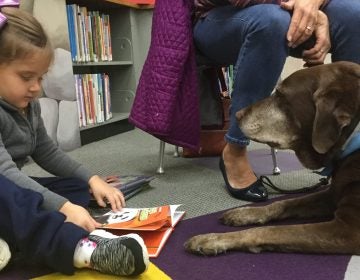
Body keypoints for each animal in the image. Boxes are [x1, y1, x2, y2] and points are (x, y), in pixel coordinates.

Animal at [184, 61, 360, 256]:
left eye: (281, 95)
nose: (237, 115)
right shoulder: (331, 194)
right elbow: (282, 203)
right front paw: (244, 213)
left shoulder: (348, 230)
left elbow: (268, 230)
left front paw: (212, 239)